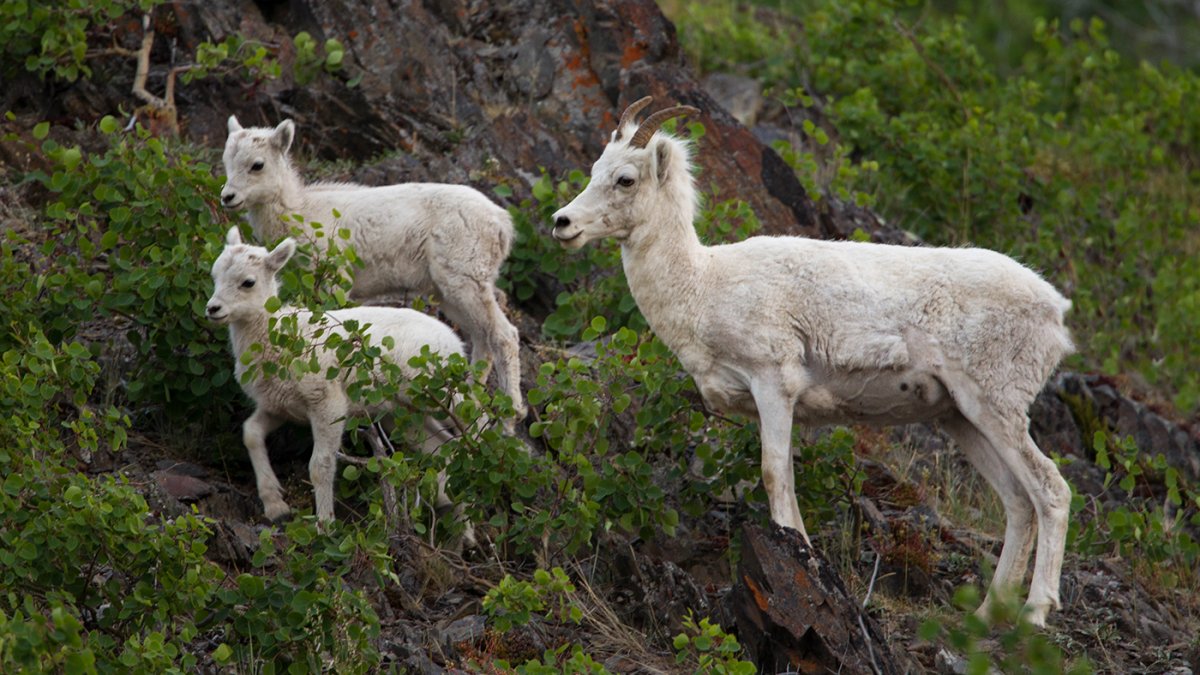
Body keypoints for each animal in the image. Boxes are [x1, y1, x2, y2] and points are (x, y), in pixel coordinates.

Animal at [206, 225, 473, 531]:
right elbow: (250, 433)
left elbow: (320, 465)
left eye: (247, 282)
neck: (277, 334)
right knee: (444, 450)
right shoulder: (279, 406)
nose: (212, 309)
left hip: (444, 392)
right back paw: (459, 525)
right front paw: (276, 506)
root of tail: (454, 340)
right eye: (215, 275)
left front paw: (324, 525)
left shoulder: (327, 403)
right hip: (405, 414)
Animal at [220, 116, 525, 428]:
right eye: (226, 162)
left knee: (504, 334)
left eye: (257, 165)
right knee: (481, 336)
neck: (302, 212)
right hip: (450, 291)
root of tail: (502, 223)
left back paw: (512, 414)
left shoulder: (335, 279)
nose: (228, 197)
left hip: (464, 279)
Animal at [550, 97, 1075, 628]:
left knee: (1051, 491)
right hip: (960, 418)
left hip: (995, 406)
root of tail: (1055, 311)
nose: (562, 223)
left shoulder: (773, 384)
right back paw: (986, 615)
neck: (703, 285)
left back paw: (1034, 613)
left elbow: (773, 476)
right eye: (594, 170)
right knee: (1018, 502)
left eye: (625, 180)